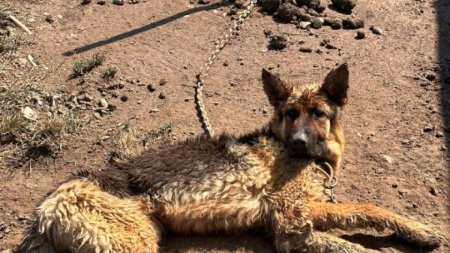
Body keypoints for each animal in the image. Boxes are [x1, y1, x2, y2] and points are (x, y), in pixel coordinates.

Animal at [16, 65, 440, 253]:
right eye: (290, 114)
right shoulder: (293, 217)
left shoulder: (292, 228)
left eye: (319, 113)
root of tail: (48, 204)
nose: (299, 142)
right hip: (134, 245)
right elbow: (369, 209)